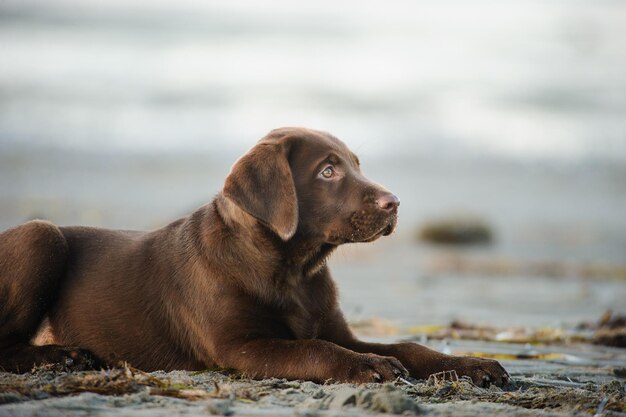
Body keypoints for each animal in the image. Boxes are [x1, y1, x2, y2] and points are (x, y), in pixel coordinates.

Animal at [0, 127, 508, 384]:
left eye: (356, 165)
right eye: (327, 171)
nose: (395, 203)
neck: (294, 271)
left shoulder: (336, 328)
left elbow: (407, 346)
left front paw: (471, 365)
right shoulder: (238, 347)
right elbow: (314, 349)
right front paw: (366, 366)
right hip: (42, 235)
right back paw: (61, 357)